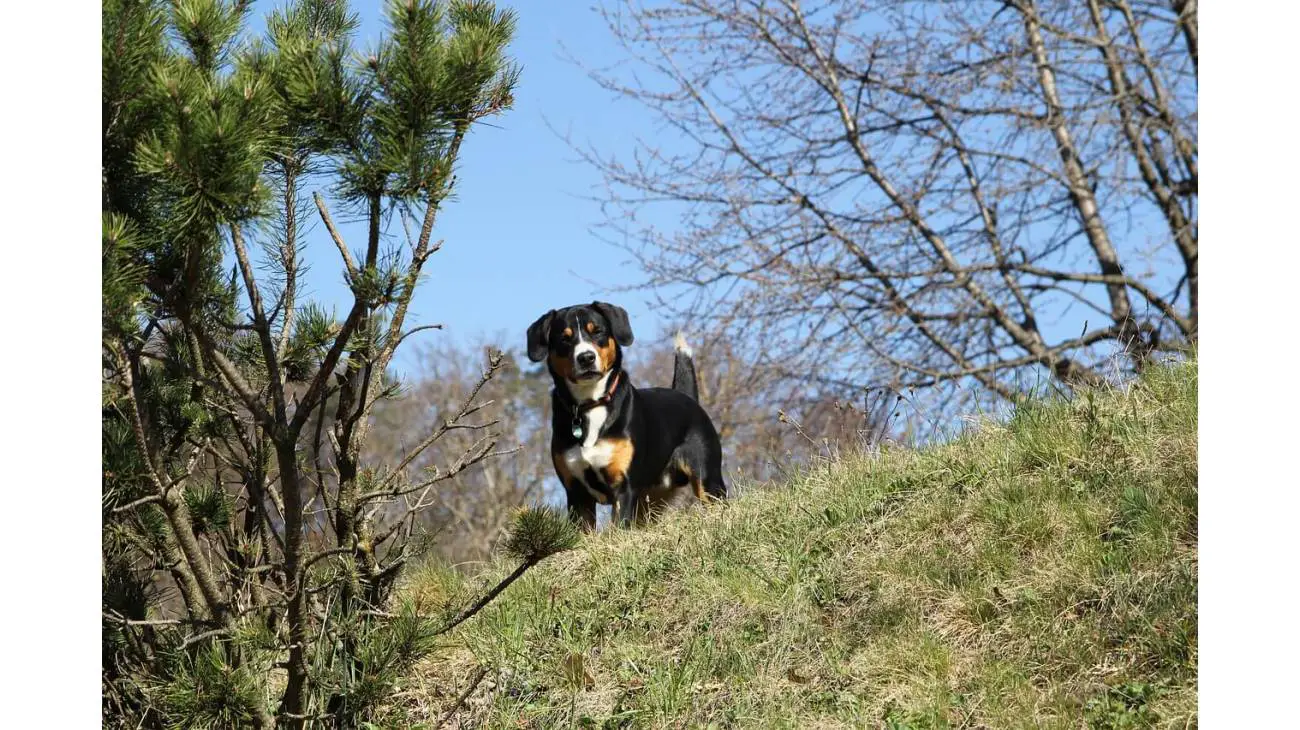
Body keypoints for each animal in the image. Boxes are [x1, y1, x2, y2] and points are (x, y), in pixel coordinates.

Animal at [527, 298, 733, 524]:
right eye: (565, 338)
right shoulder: (577, 494)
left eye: (597, 331)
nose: (586, 357)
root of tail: (685, 395)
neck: (591, 405)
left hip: (708, 480)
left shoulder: (623, 487)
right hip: (650, 500)